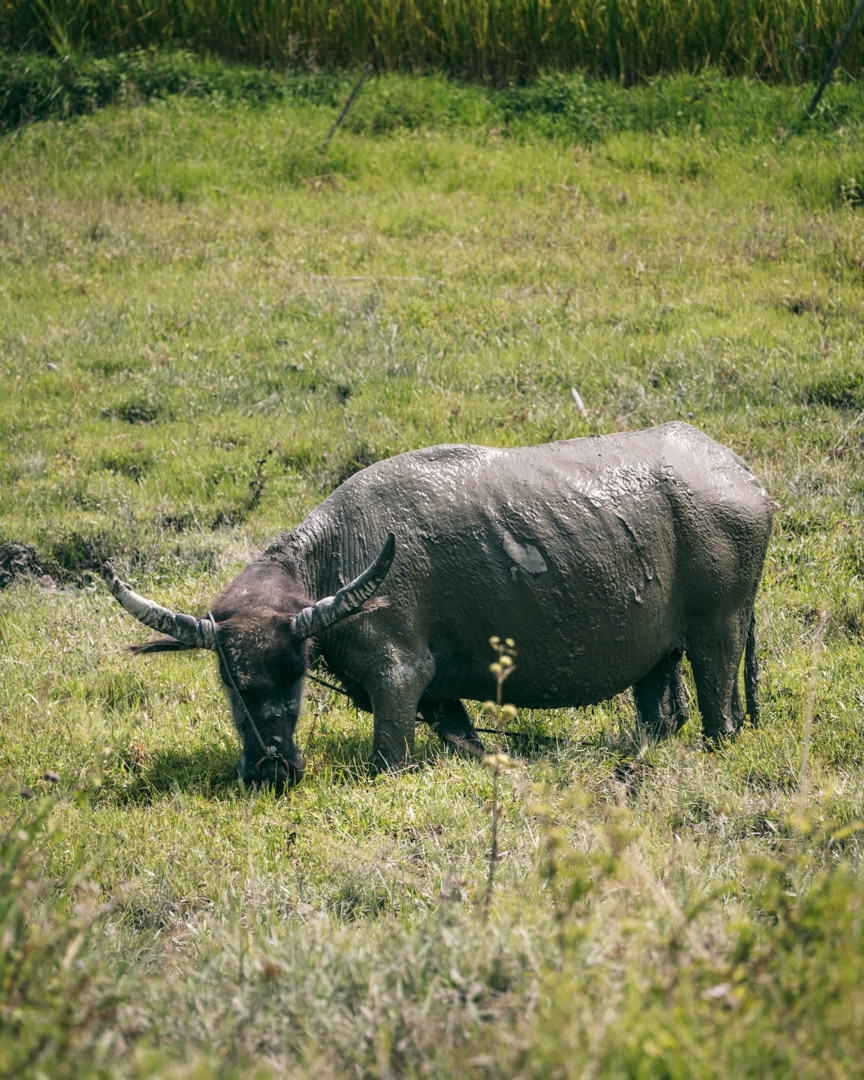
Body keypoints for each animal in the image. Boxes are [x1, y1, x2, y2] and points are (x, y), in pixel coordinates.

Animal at [104, 425, 773, 790]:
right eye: (230, 681)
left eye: (297, 675)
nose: (271, 769)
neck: (338, 560)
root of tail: (747, 480)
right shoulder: (440, 694)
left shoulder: (399, 675)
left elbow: (388, 756)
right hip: (659, 655)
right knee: (659, 707)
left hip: (720, 632)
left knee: (719, 706)